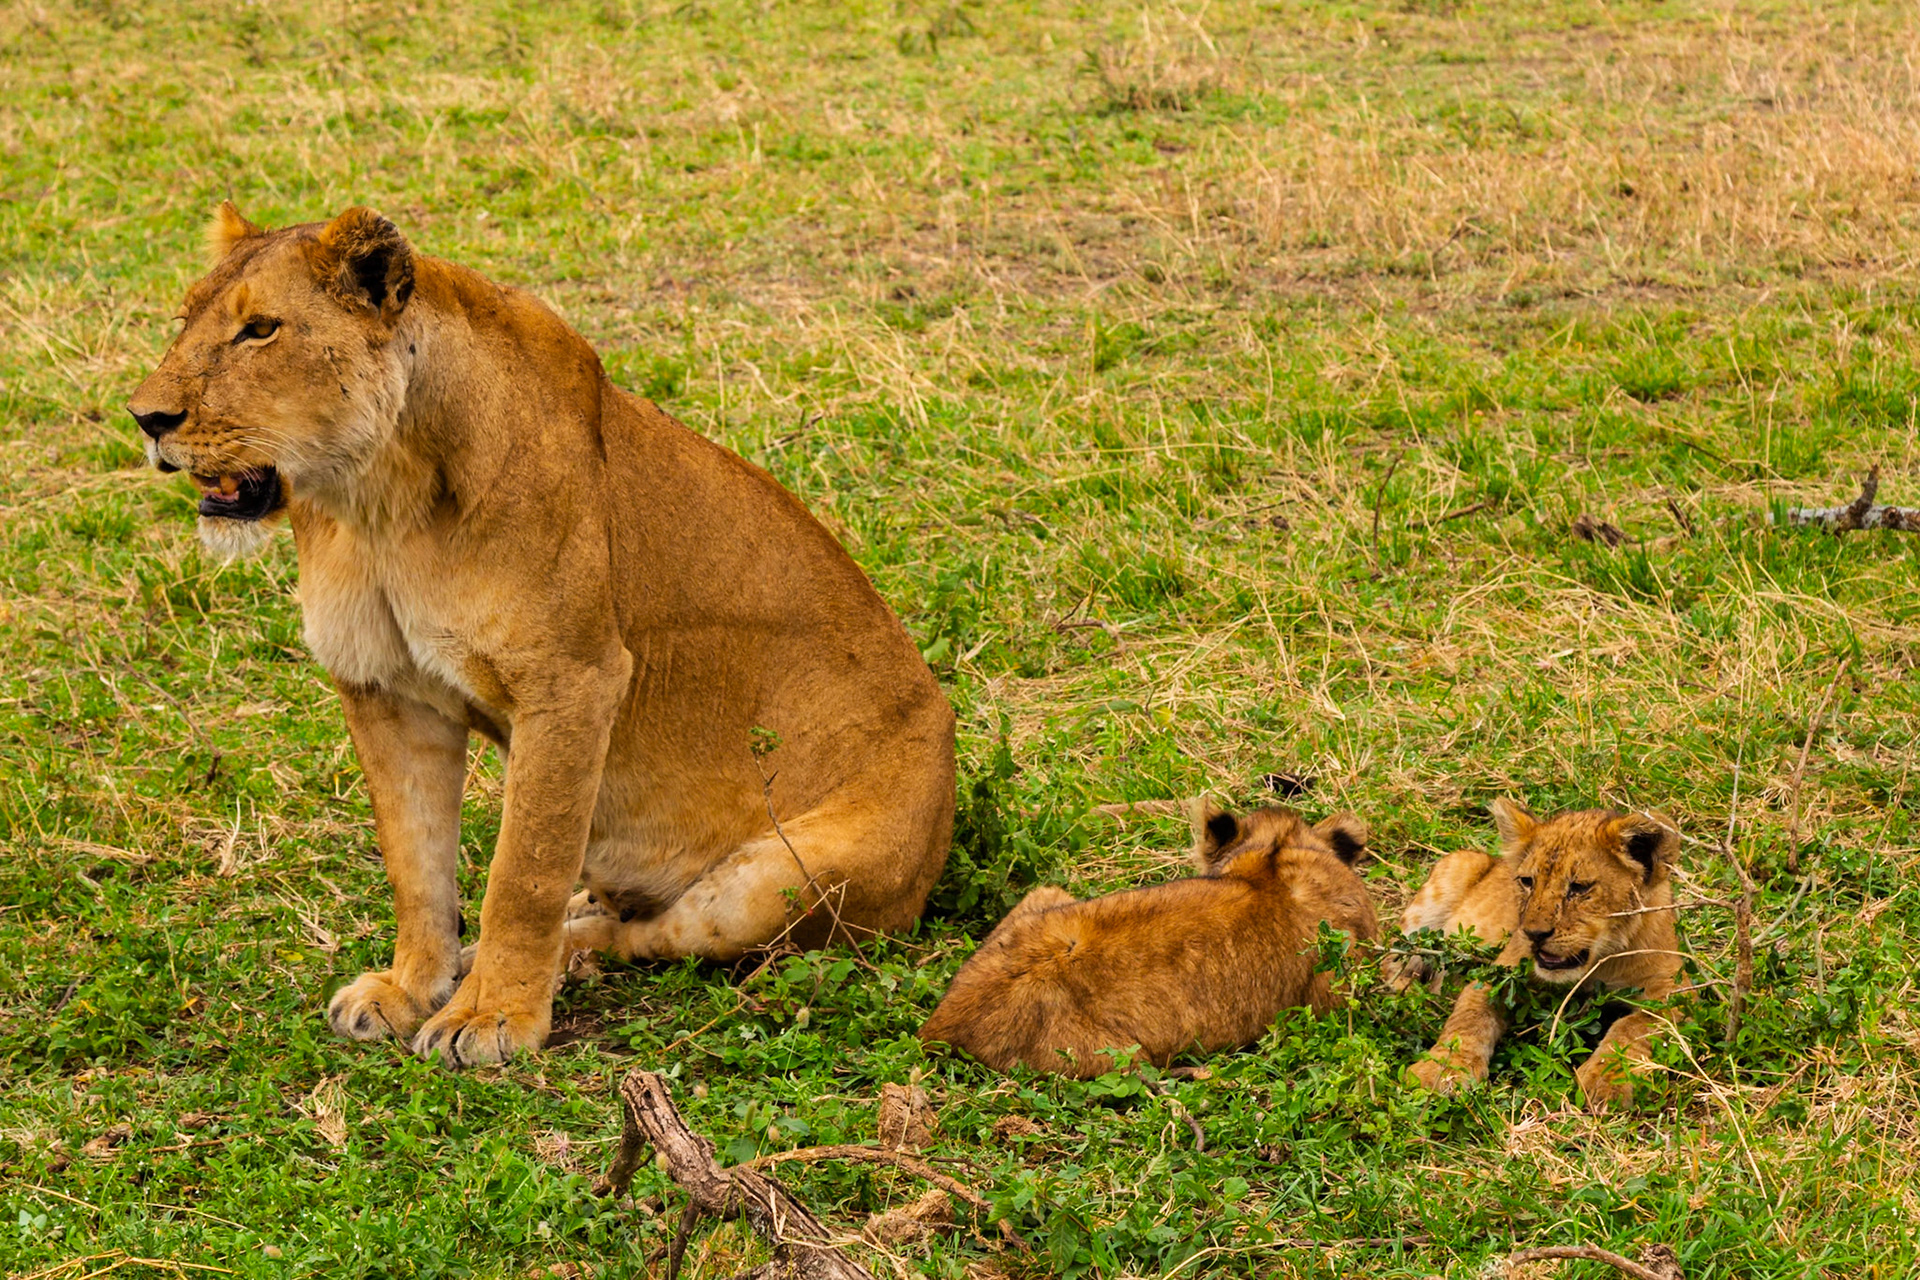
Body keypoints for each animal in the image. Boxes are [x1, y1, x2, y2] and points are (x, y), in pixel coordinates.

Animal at [127, 204, 956, 1066]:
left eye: (259, 330)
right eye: (185, 319)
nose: (145, 419)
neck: (377, 502)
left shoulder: (574, 682)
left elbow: (523, 870)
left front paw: (491, 1017)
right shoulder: (383, 688)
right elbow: (414, 863)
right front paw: (407, 990)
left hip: (780, 882)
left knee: (658, 936)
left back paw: (556, 955)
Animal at [1394, 798, 1682, 1110]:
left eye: (1579, 887)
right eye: (1527, 881)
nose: (1533, 934)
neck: (1596, 963)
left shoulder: (1672, 985)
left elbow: (1636, 1026)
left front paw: (1607, 1079)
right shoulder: (1501, 976)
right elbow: (1469, 1018)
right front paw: (1442, 1069)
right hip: (1449, 877)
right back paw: (1415, 997)